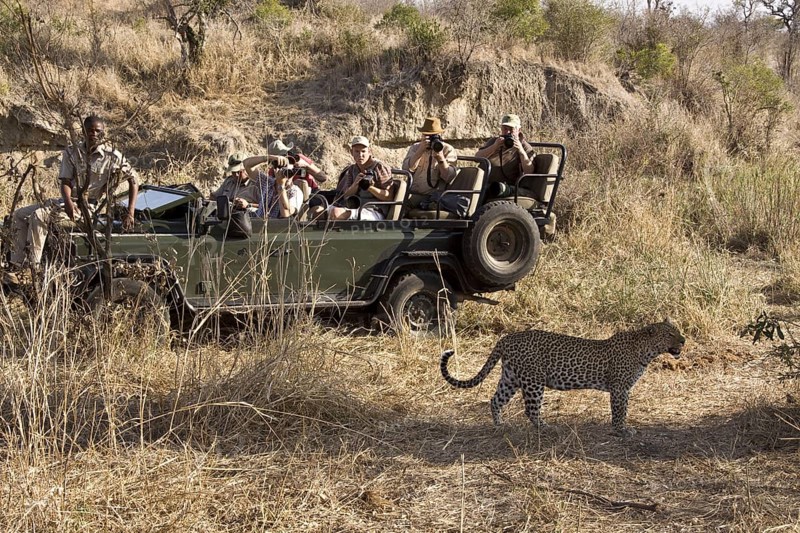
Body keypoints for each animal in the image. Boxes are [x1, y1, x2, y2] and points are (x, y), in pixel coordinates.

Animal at [440, 319, 685, 435]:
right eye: (670, 334)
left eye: (678, 331)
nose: (683, 340)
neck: (645, 350)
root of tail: (506, 338)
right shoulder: (620, 388)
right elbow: (620, 411)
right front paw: (621, 430)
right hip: (533, 381)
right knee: (530, 410)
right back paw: (547, 428)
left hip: (511, 378)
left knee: (495, 400)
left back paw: (500, 425)